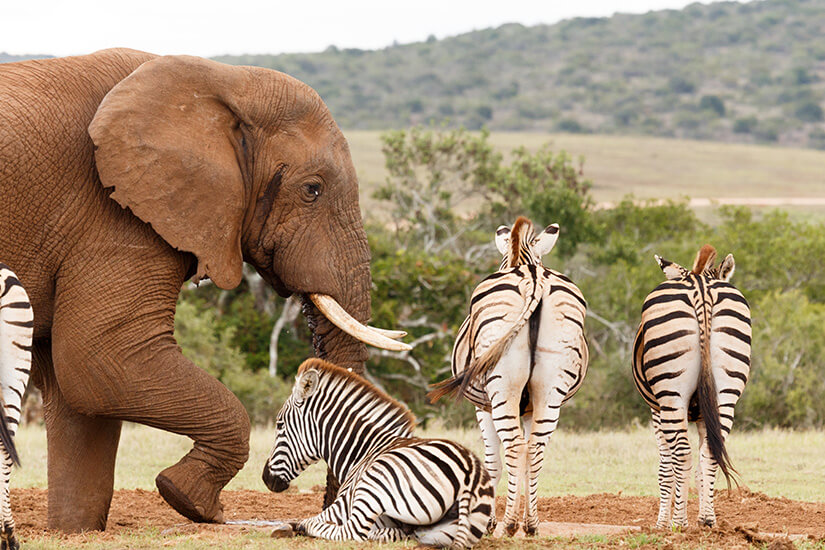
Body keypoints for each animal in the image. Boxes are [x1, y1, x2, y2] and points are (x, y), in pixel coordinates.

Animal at [1, 50, 408, 536]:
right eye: (313, 190)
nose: (326, 507)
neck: (225, 81)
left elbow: (80, 393)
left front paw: (74, 531)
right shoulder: (113, 213)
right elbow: (104, 361)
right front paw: (190, 501)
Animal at [264, 358, 492, 548]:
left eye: (279, 424)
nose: (265, 478)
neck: (363, 450)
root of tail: (469, 474)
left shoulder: (343, 503)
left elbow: (307, 521)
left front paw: (285, 527)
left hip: (374, 483)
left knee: (351, 531)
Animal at [428, 219, 588, 540]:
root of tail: (533, 277)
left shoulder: (483, 407)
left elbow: (493, 463)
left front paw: (488, 522)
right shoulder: (527, 409)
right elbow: (526, 458)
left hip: (502, 386)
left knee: (514, 446)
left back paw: (510, 524)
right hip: (550, 388)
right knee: (535, 449)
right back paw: (531, 525)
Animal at [636, 246, 748, 532]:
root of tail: (701, 285)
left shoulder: (656, 410)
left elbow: (665, 467)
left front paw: (662, 523)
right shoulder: (702, 414)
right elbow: (702, 464)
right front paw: (706, 515)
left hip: (671, 394)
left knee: (682, 454)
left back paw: (679, 523)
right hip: (726, 393)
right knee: (710, 451)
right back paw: (706, 521)